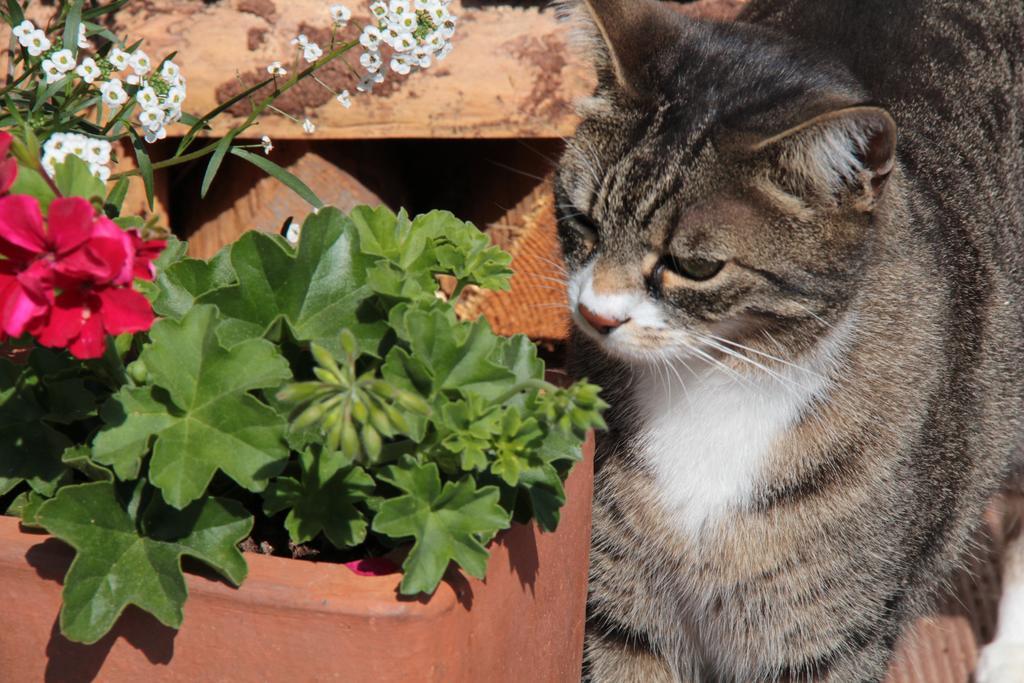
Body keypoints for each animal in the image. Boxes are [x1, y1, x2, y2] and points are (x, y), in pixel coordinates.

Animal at [557, 0, 1024, 679]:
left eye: (694, 266)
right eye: (583, 221)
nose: (596, 315)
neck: (714, 384)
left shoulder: (825, 636)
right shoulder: (623, 617)